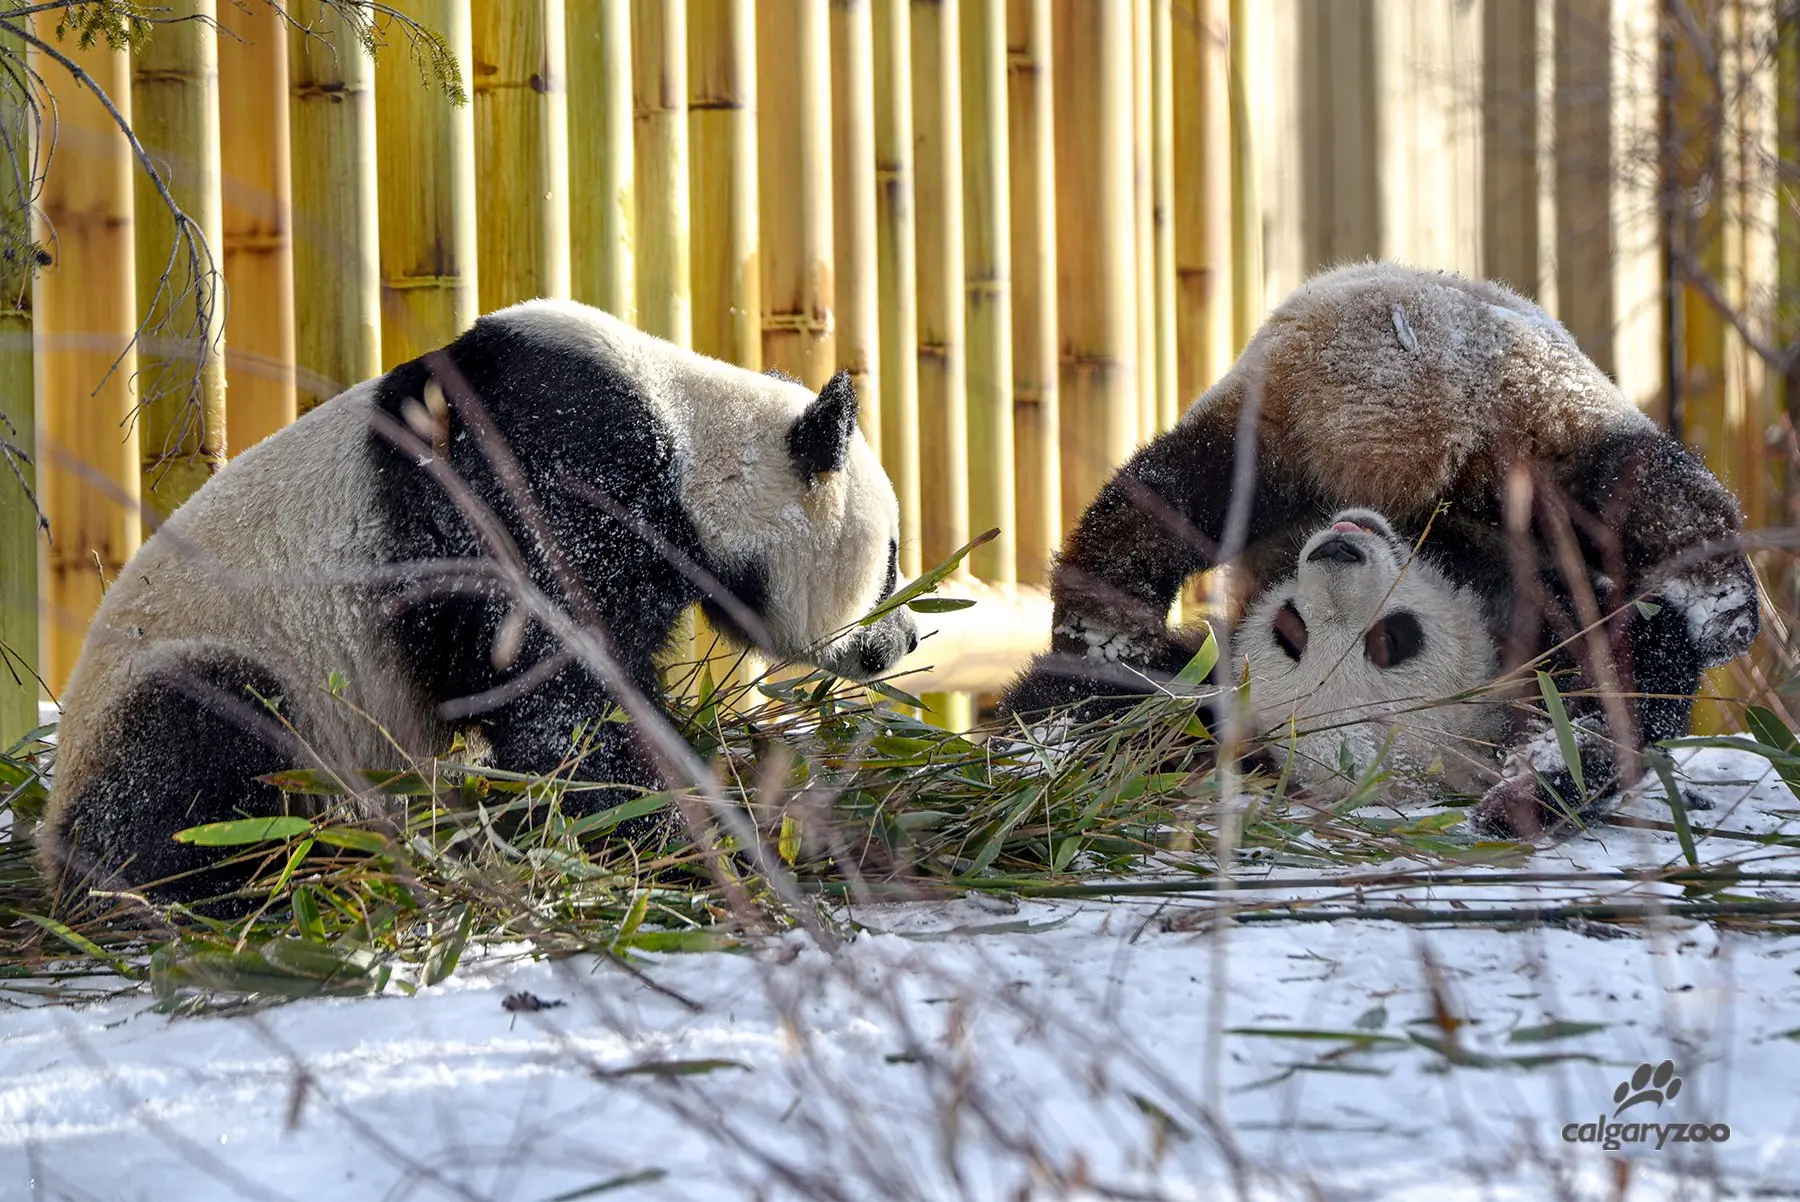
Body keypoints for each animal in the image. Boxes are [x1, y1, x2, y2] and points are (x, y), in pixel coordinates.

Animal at [38, 298, 914, 899]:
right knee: (199, 759)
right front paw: (677, 836)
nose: (904, 640)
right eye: (894, 558)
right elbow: (561, 700)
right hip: (210, 672)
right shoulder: (543, 481)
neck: (685, 443)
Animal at [1008, 259, 1764, 831]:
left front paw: (1528, 787)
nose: (1338, 554)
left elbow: (1629, 680)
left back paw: (1722, 601)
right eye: (1293, 632)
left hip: (1492, 397)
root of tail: (1393, 436)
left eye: (1392, 640)